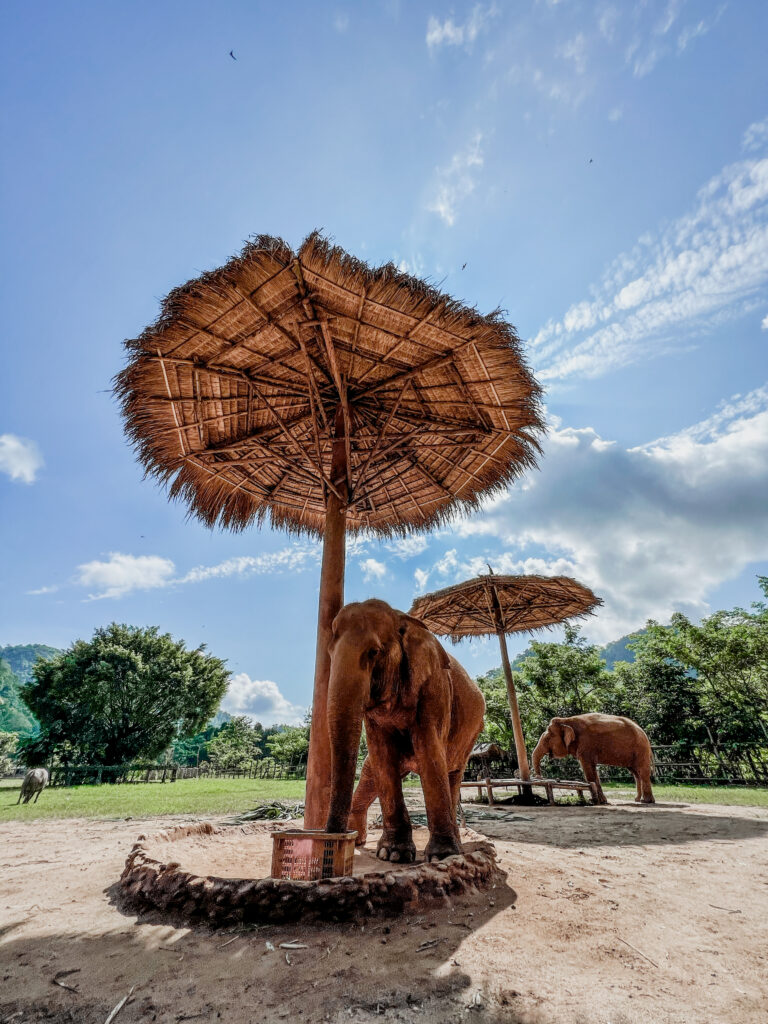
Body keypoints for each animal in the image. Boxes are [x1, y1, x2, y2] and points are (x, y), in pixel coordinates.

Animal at [325, 598, 487, 864]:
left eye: (374, 652)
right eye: (328, 652)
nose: (331, 841)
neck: (401, 618)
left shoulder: (434, 688)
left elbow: (430, 751)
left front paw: (441, 857)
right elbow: (381, 757)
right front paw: (392, 854)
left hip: (471, 735)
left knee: (452, 774)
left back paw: (456, 845)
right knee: (371, 769)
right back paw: (358, 838)